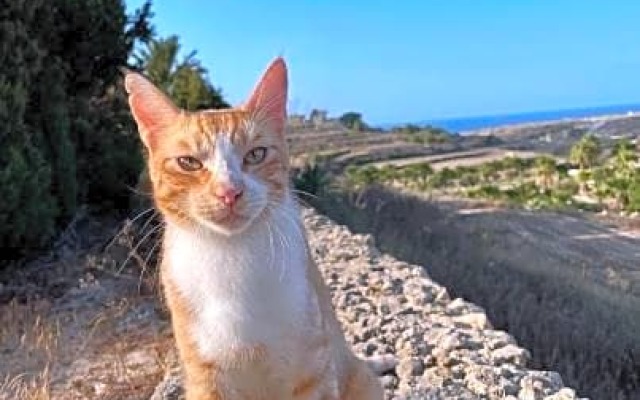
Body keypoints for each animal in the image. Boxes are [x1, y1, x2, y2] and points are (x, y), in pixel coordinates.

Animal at [122, 59, 388, 400]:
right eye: (188, 163)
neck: (231, 255)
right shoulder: (205, 377)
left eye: (256, 154)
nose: (229, 191)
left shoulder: (313, 370)